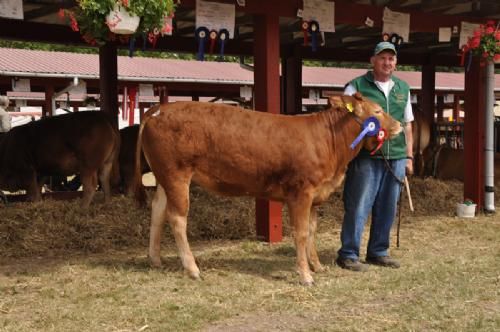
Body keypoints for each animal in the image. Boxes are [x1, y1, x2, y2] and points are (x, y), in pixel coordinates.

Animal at [134, 93, 402, 286]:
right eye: (377, 111)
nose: (400, 125)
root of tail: (158, 109)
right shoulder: (301, 192)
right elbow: (301, 233)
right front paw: (305, 275)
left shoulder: (316, 196)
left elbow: (312, 231)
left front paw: (317, 266)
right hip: (177, 174)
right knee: (177, 218)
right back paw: (192, 269)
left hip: (163, 177)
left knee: (158, 210)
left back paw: (155, 259)